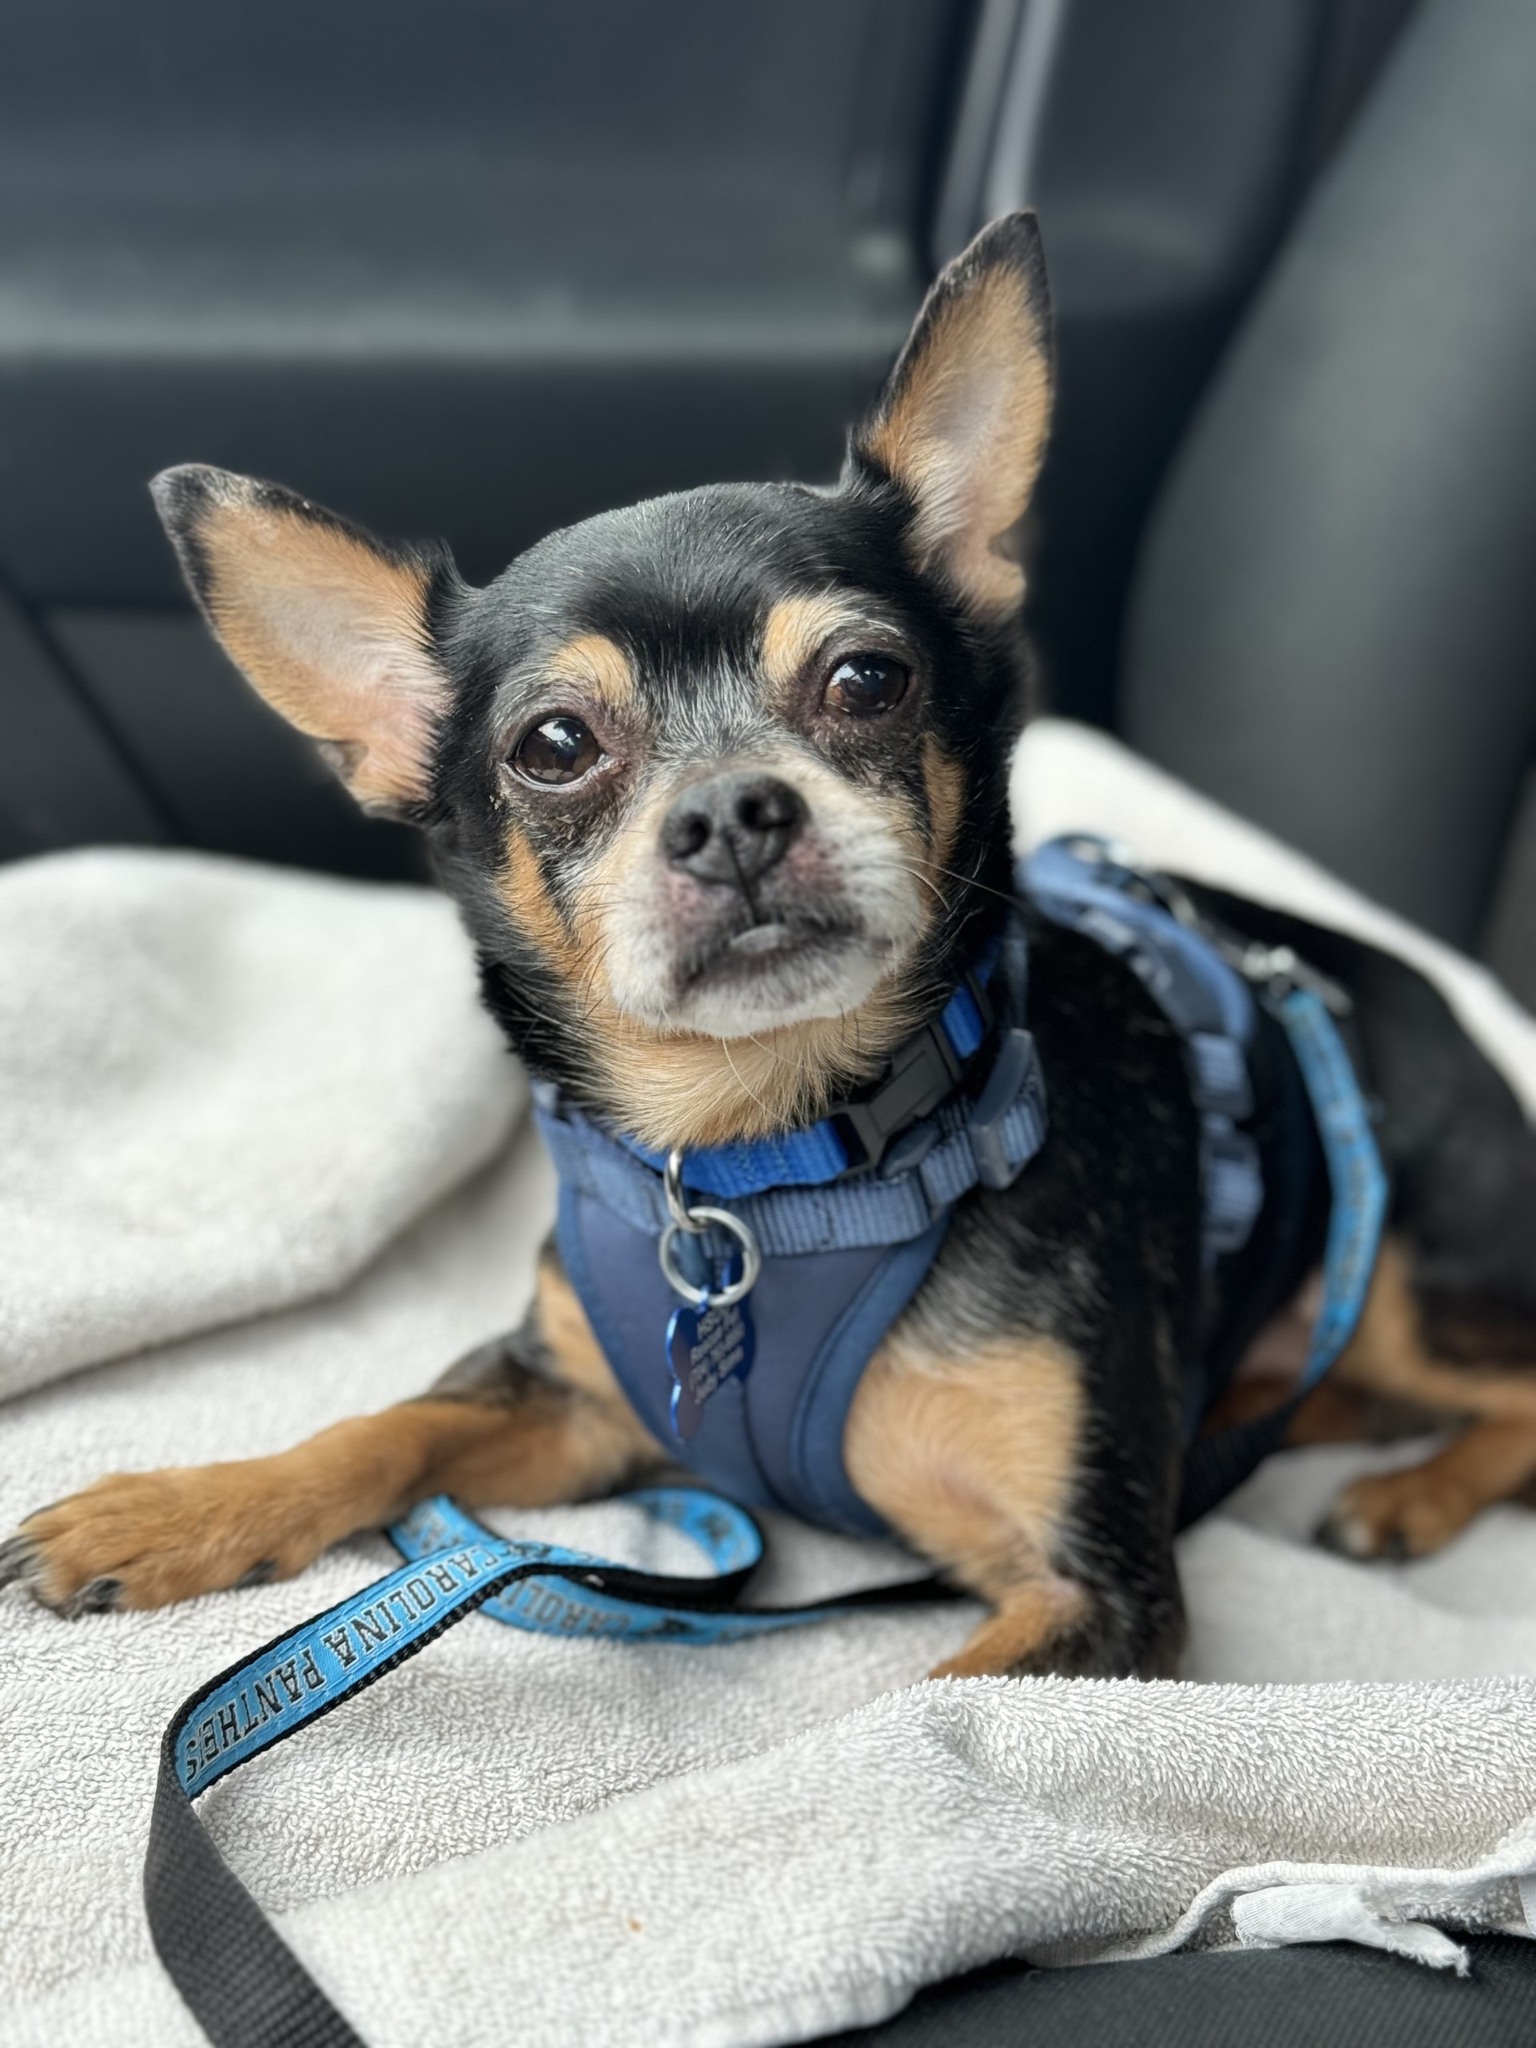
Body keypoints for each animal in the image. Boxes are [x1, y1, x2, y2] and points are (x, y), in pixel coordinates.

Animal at [9, 216, 1536, 1679]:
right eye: (551, 745)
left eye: (868, 678)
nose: (733, 812)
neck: (763, 1160)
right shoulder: (577, 1400)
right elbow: (385, 1427)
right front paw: (176, 1508)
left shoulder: (1095, 1594)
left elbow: (919, 1713)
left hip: (1419, 1274)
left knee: (1505, 1384)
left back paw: (1406, 1492)